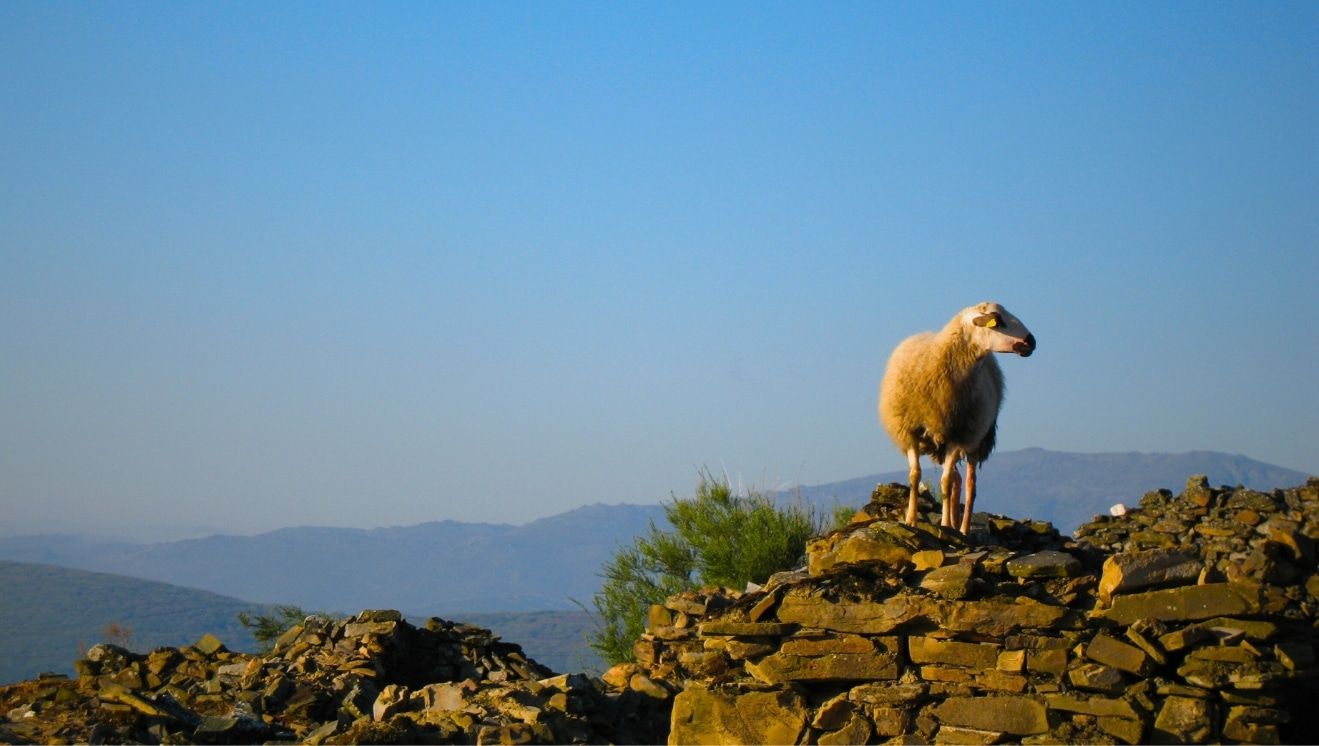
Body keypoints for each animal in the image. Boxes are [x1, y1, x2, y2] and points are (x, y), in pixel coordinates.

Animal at [878, 302, 1035, 534]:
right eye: (998, 319)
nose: (1032, 341)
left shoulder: (958, 436)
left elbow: (945, 482)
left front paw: (944, 524)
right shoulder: (910, 430)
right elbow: (915, 476)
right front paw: (911, 520)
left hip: (977, 438)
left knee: (969, 483)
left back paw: (962, 528)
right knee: (957, 480)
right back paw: (954, 521)